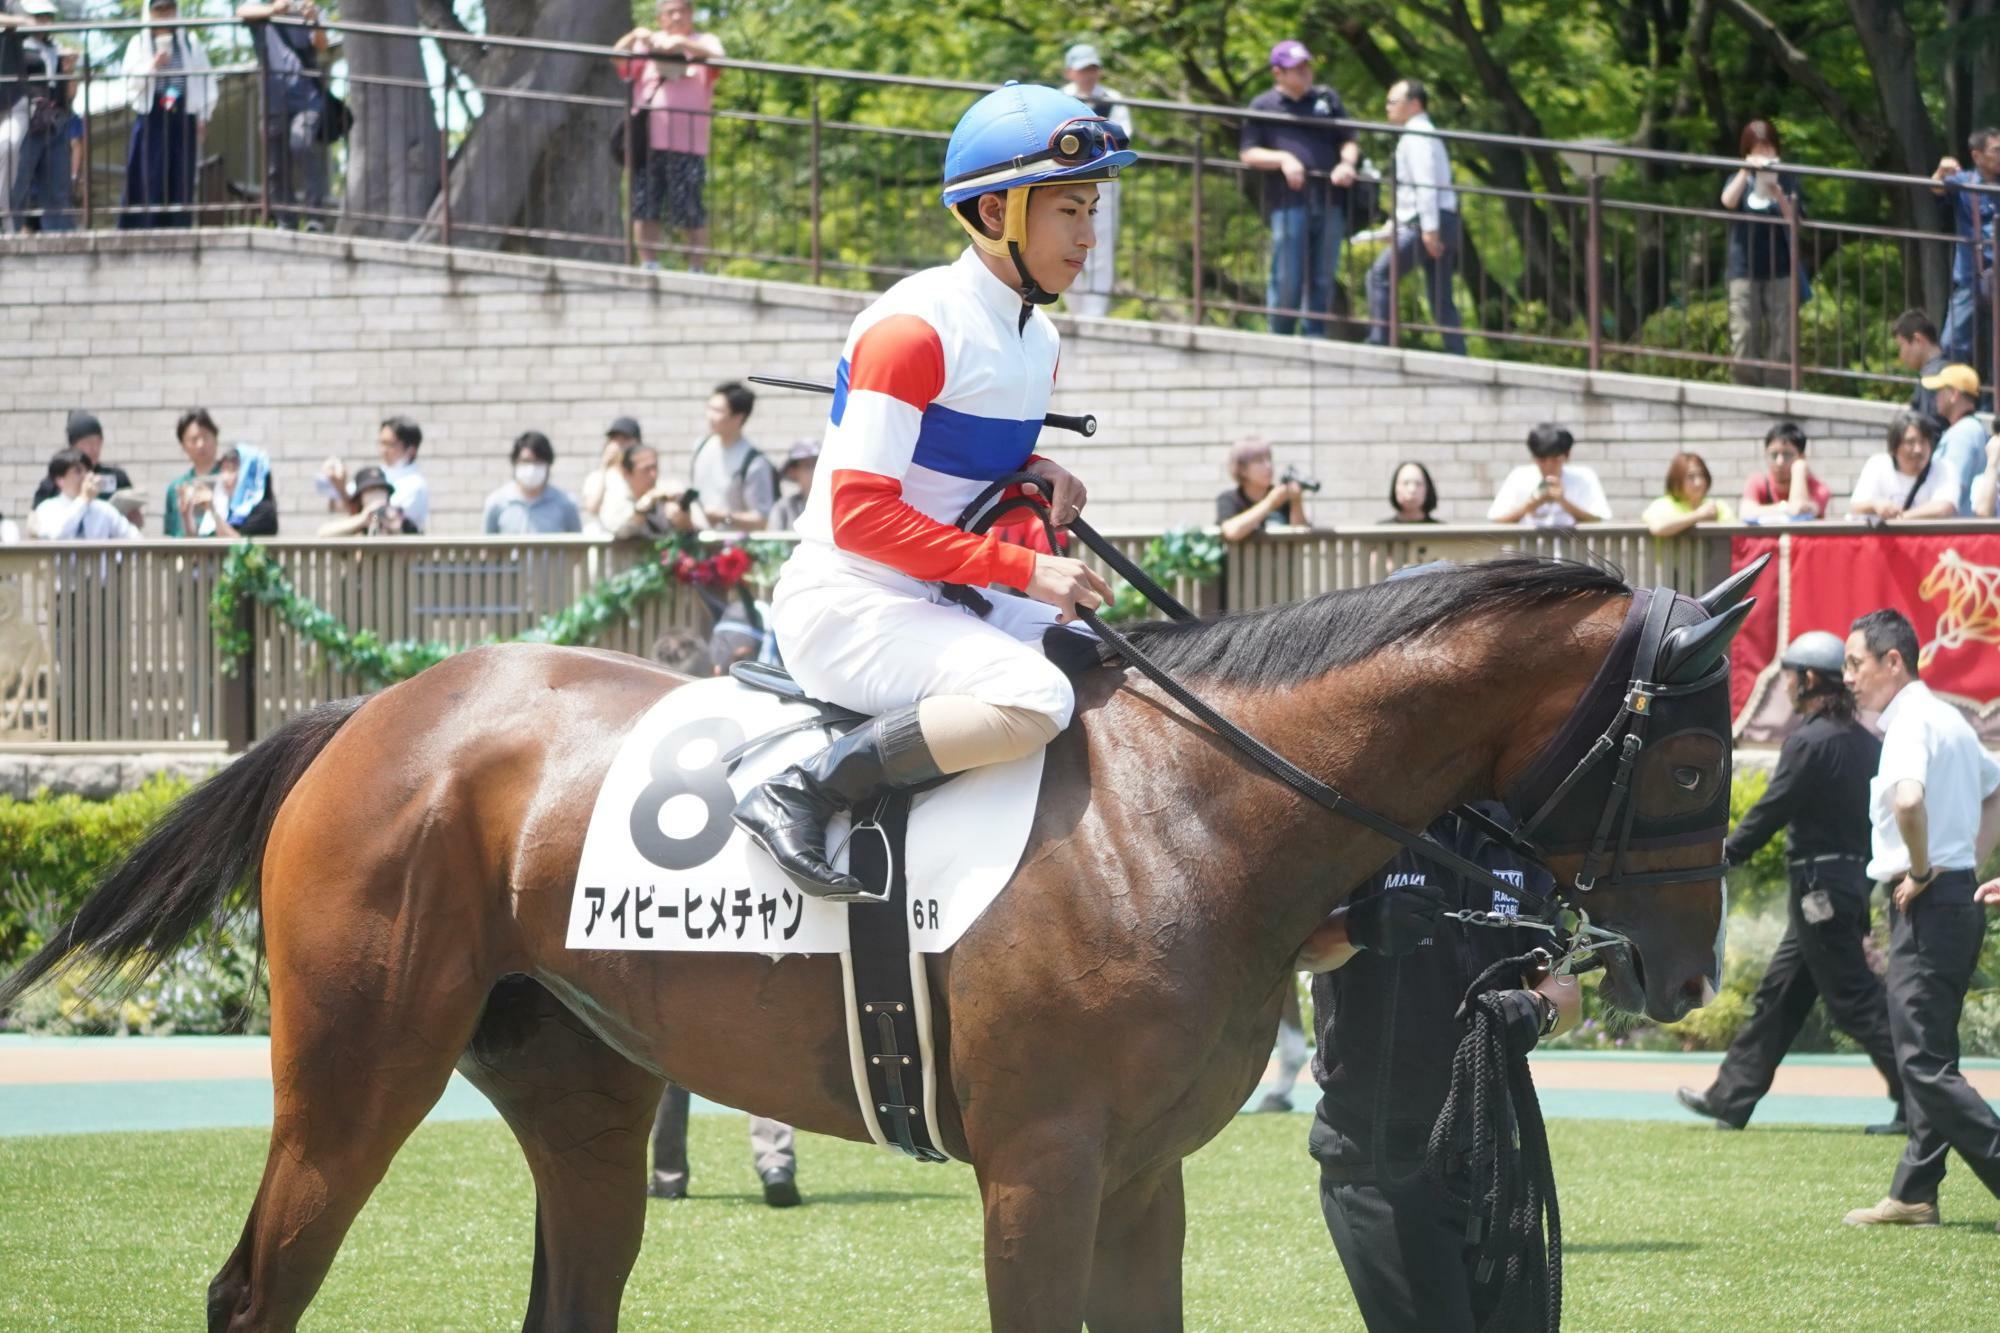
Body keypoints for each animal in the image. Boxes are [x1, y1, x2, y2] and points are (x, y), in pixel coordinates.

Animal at [0, 556, 1752, 1320]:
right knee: (253, 1292)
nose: (1679, 979)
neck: (1187, 809)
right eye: (1685, 760)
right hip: (355, 1071)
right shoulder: (1041, 1169)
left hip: (581, 1091)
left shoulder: (1144, 1177)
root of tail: (373, 711)